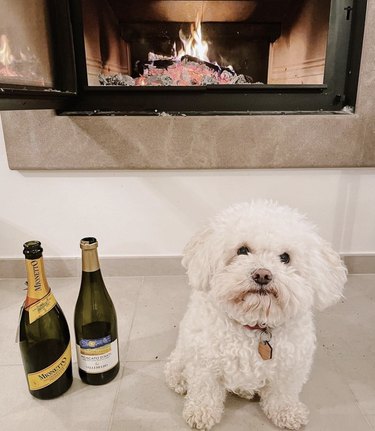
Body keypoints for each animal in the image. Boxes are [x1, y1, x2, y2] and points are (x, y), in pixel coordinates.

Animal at [166, 201, 348, 430]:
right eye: (242, 250)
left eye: (285, 257)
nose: (262, 274)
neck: (255, 325)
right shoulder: (205, 362)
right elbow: (204, 390)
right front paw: (201, 412)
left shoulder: (289, 367)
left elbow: (283, 393)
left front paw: (287, 412)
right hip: (185, 348)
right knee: (176, 365)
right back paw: (180, 379)